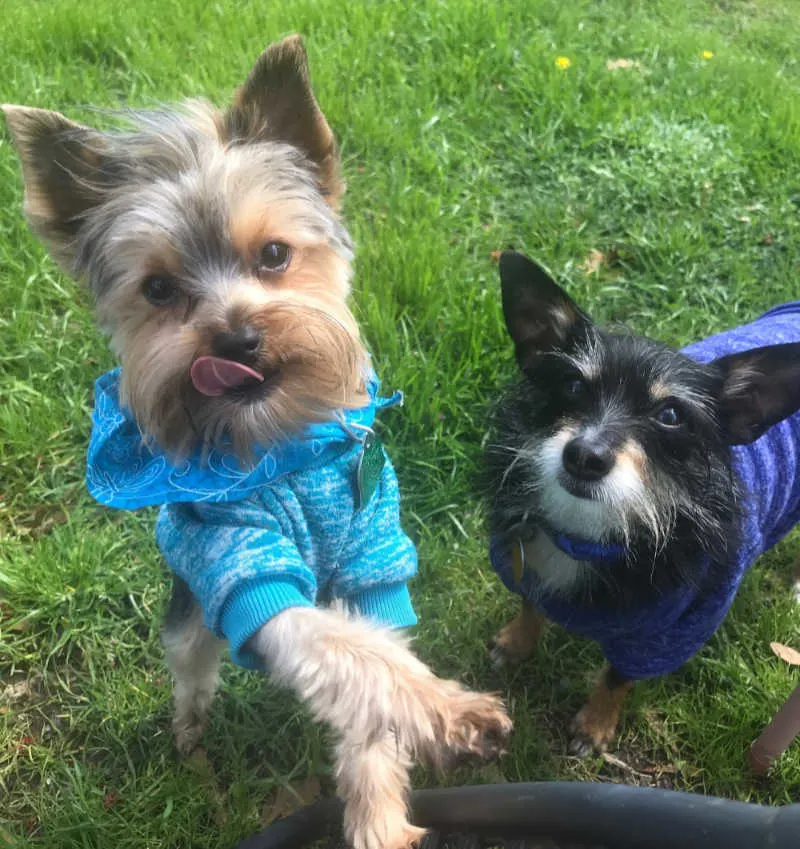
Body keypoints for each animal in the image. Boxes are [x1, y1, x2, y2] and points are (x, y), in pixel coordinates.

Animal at [484, 248, 800, 752]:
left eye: (670, 414)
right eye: (573, 386)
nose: (584, 457)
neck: (586, 535)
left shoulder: (663, 638)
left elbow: (617, 676)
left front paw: (595, 725)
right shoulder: (525, 569)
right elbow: (531, 606)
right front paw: (515, 644)